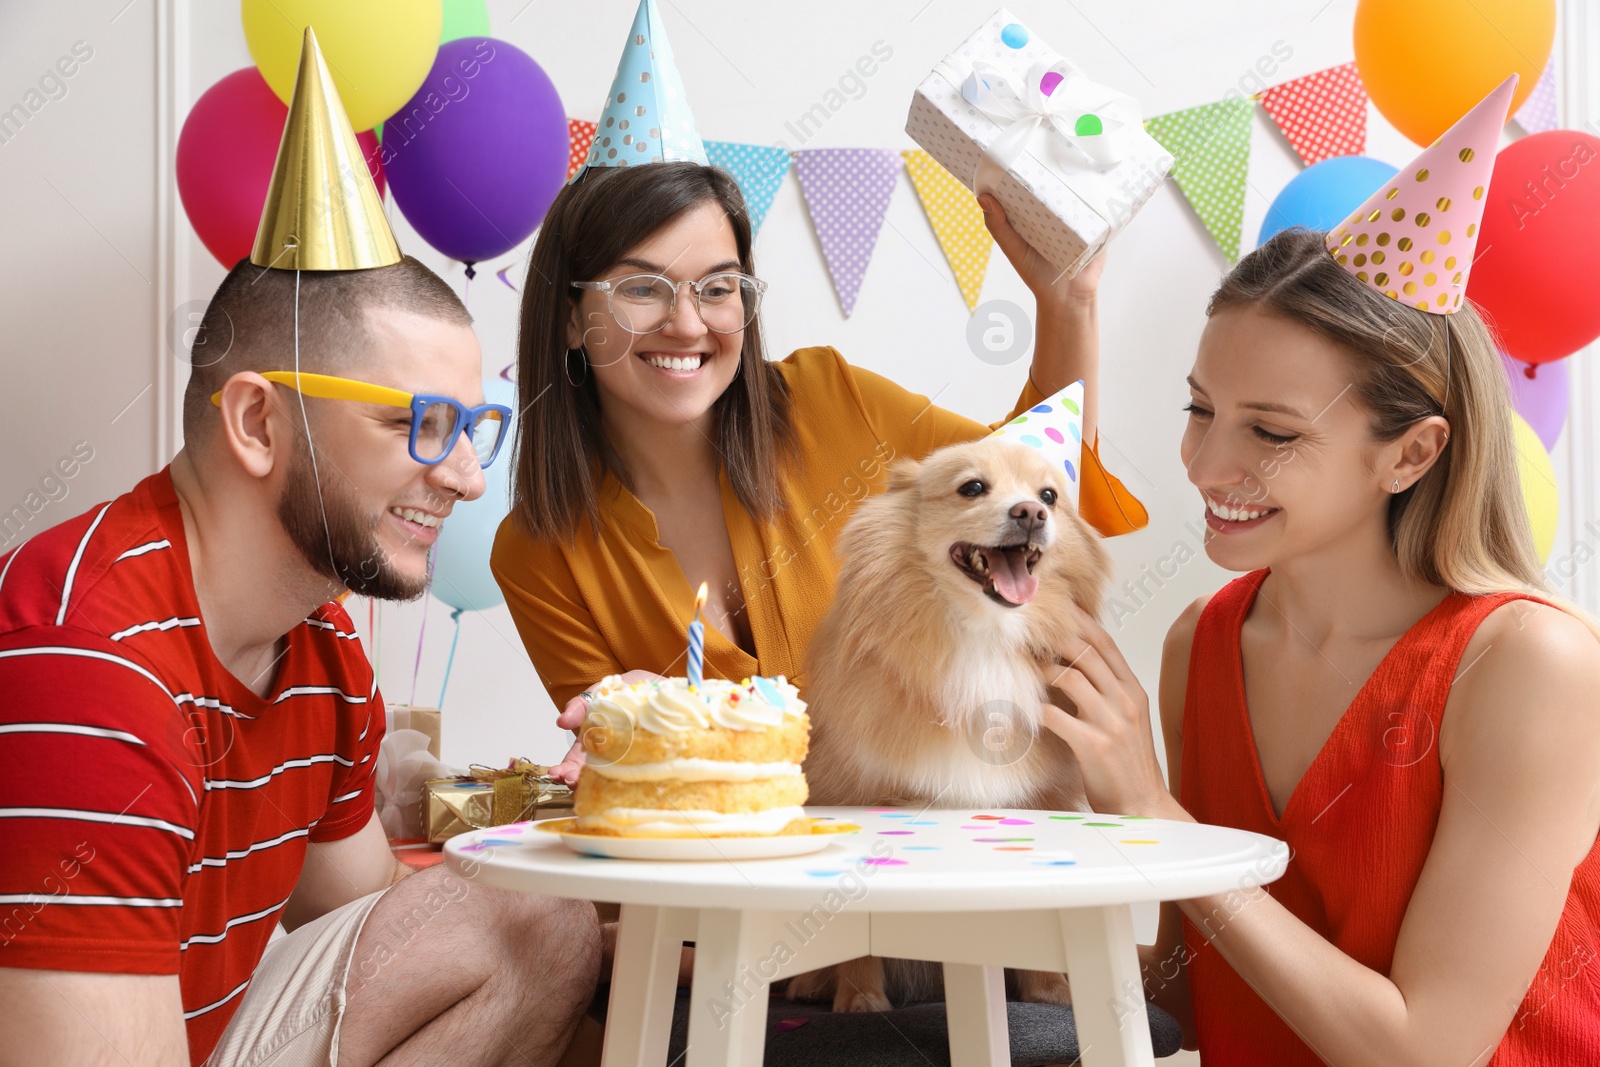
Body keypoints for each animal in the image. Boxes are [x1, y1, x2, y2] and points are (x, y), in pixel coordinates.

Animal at [787, 438, 1113, 1017]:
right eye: (973, 487)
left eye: (1049, 496)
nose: (1031, 514)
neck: (984, 637)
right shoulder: (858, 793)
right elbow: (856, 934)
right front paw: (861, 997)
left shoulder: (1036, 799)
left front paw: (1049, 990)